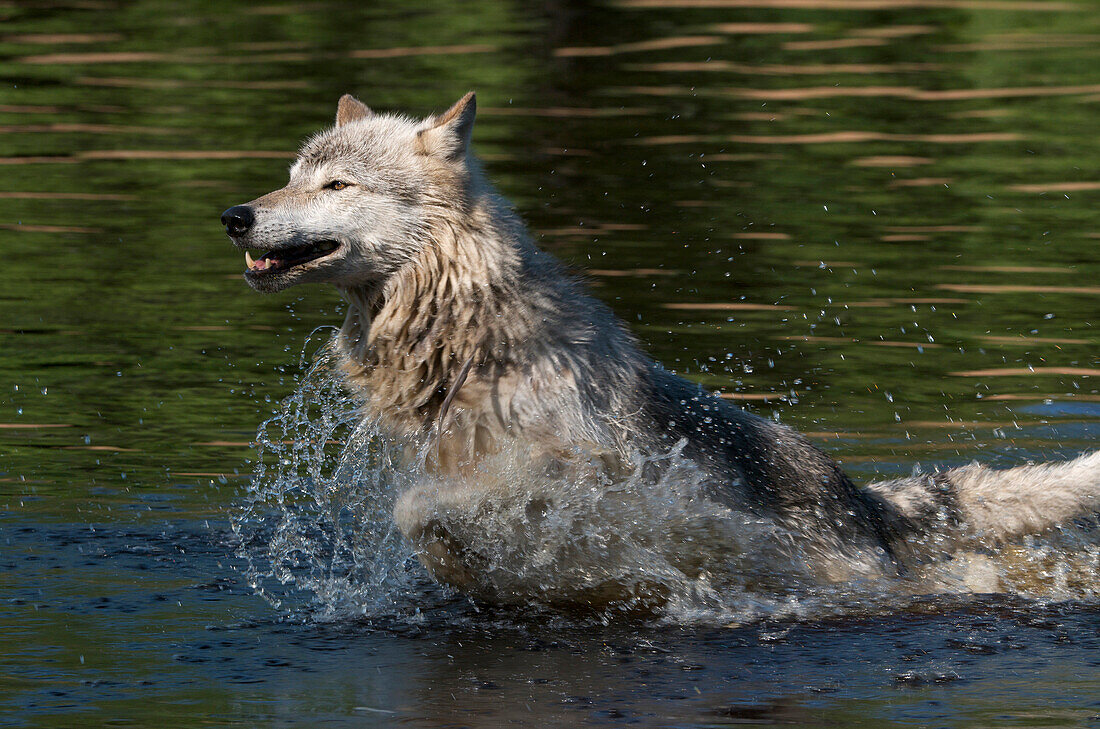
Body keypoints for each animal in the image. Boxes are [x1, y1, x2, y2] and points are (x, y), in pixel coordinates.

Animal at [223, 92, 1100, 611]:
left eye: (335, 185)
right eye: (290, 175)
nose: (235, 216)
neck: (473, 335)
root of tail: (858, 492)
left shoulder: (563, 476)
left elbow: (423, 508)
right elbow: (429, 524)